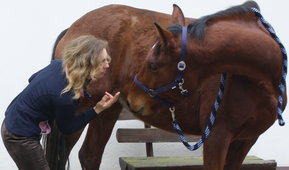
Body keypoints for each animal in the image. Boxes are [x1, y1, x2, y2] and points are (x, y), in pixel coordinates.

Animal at [46, 0, 284, 169]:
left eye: (152, 65)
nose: (132, 99)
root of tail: (72, 30)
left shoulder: (245, 140)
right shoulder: (216, 137)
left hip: (106, 109)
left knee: (90, 156)